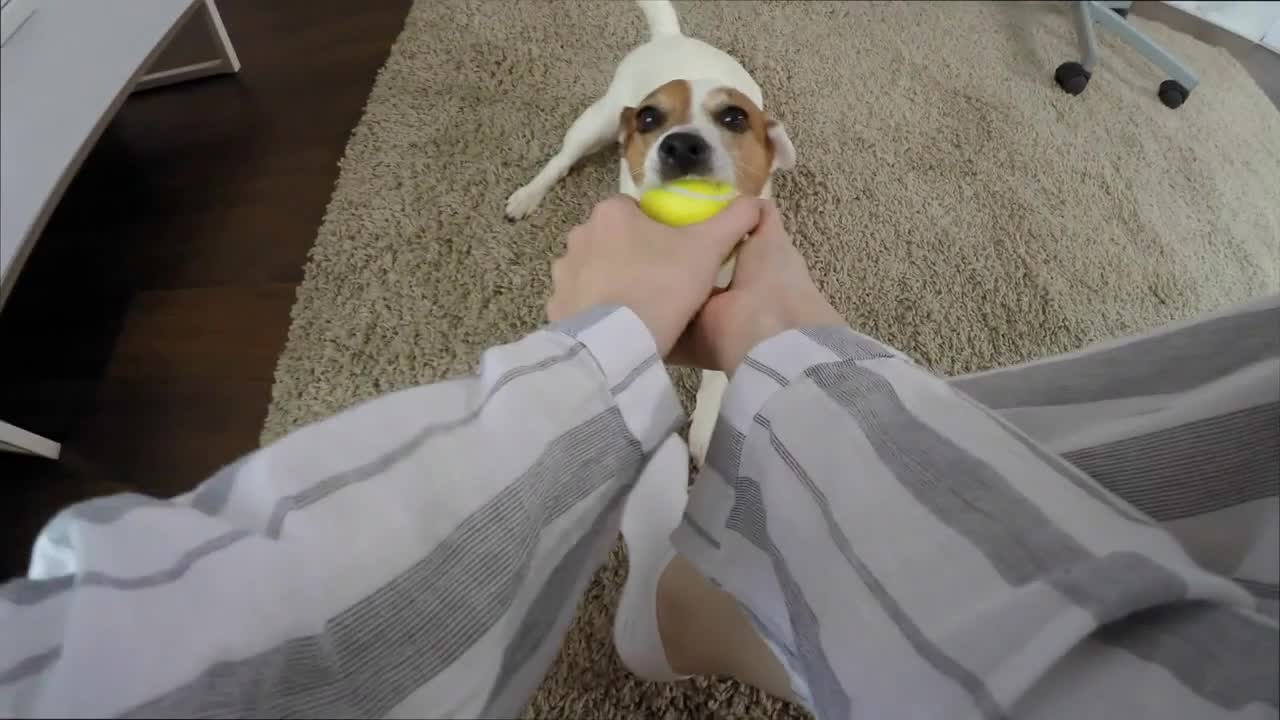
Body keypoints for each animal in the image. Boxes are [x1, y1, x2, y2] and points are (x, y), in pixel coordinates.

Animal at [506, 0, 788, 466]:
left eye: (734, 117)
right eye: (648, 117)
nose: (681, 146)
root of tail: (672, 37)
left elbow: (718, 370)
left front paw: (708, 427)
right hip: (596, 122)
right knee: (561, 160)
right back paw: (528, 195)